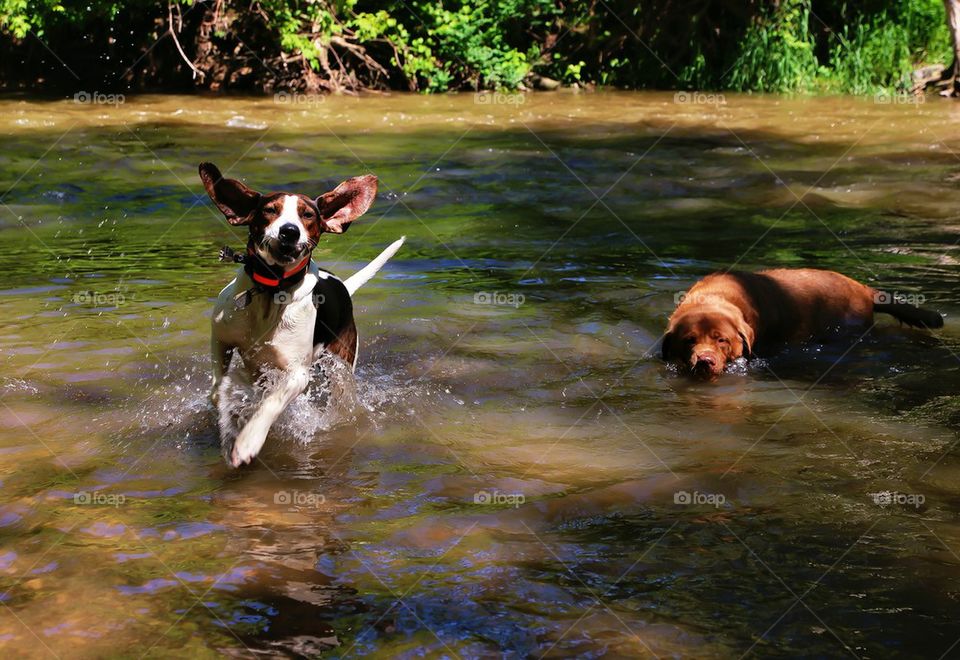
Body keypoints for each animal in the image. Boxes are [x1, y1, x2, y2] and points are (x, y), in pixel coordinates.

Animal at [199, 162, 402, 466]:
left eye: (307, 215)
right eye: (270, 210)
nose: (289, 231)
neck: (270, 291)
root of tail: (342, 285)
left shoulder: (297, 374)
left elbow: (271, 402)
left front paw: (248, 440)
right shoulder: (220, 337)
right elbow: (217, 389)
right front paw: (235, 408)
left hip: (341, 367)